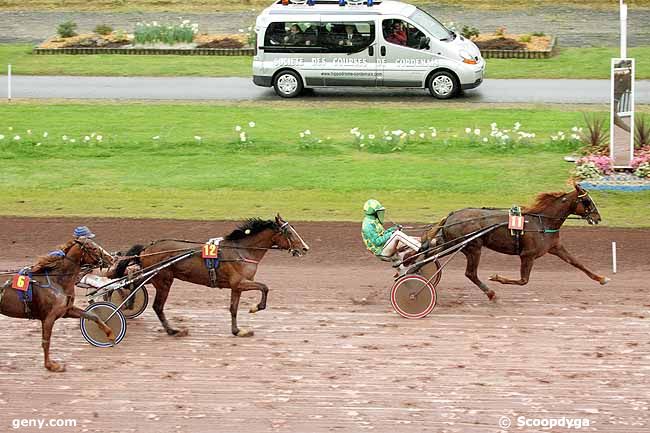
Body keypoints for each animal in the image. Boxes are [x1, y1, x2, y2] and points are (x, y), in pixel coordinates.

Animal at [0, 236, 113, 372]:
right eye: (93, 248)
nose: (111, 259)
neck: (57, 281)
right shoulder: (49, 318)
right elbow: (46, 341)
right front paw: (51, 365)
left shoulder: (66, 310)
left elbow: (93, 316)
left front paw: (110, 334)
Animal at [112, 216, 308, 338]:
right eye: (290, 233)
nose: (305, 248)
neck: (241, 251)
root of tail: (148, 247)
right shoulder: (240, 282)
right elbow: (264, 287)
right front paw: (255, 308)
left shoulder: (236, 287)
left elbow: (233, 308)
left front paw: (237, 331)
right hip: (163, 280)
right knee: (157, 306)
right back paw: (173, 331)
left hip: (153, 276)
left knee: (134, 282)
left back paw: (128, 301)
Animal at [422, 183, 612, 300]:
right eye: (586, 201)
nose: (598, 217)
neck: (542, 222)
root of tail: (451, 215)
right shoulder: (528, 255)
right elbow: (523, 281)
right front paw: (496, 277)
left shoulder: (556, 247)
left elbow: (577, 263)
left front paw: (602, 278)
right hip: (472, 247)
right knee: (470, 273)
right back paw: (491, 293)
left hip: (451, 243)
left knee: (427, 255)